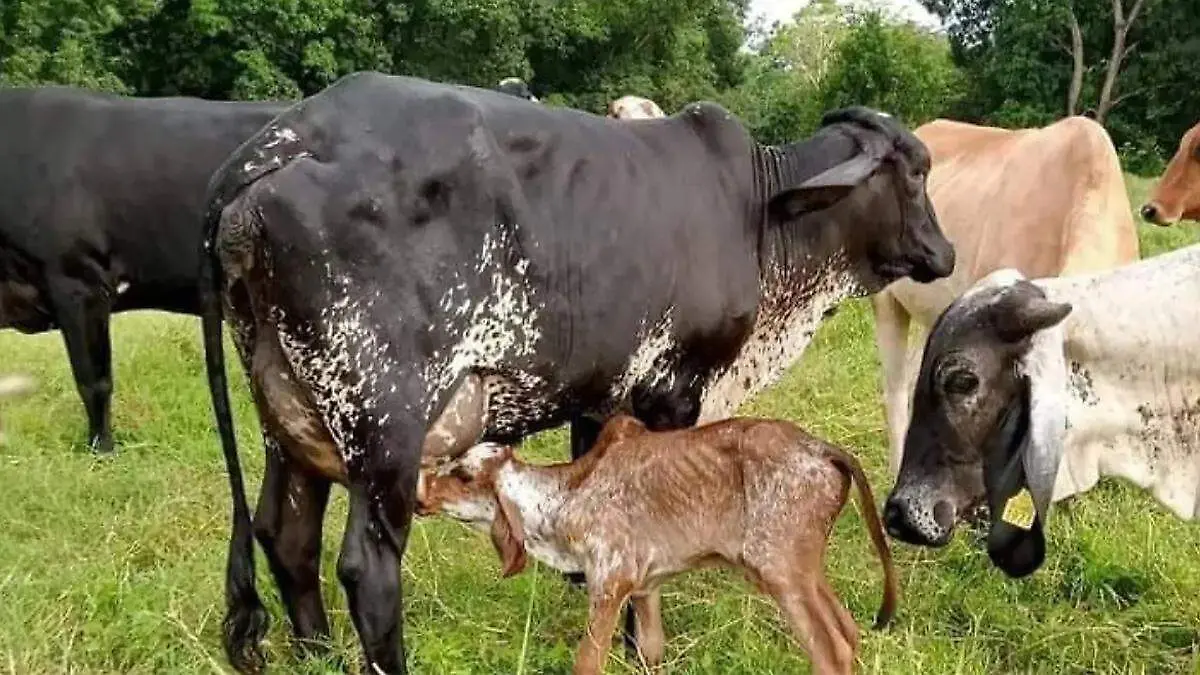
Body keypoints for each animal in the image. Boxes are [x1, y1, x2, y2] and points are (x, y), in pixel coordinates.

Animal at [199, 71, 953, 673]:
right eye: (916, 172)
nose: (944, 254)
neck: (763, 220)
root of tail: (284, 139)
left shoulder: (602, 398)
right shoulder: (673, 387)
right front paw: (640, 645)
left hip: (289, 415)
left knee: (286, 536)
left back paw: (316, 654)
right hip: (384, 423)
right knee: (366, 566)